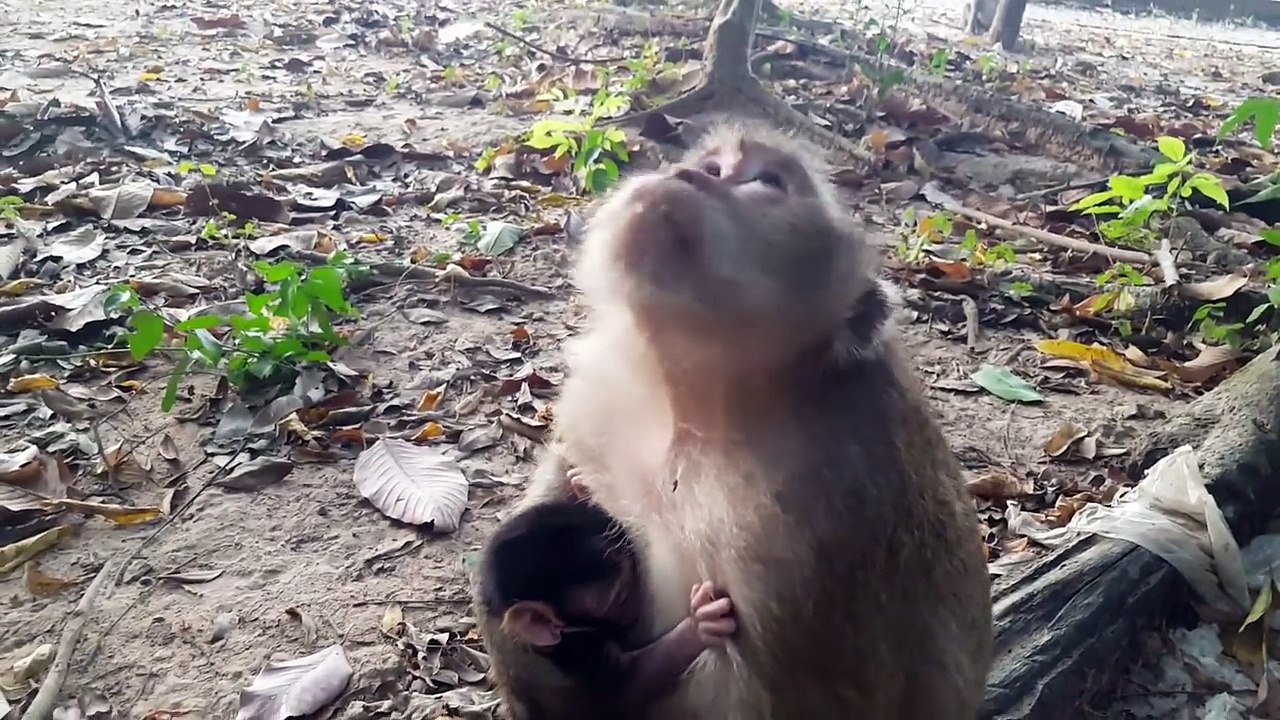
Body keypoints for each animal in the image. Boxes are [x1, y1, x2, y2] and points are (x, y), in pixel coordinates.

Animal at [501, 119, 995, 720]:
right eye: (714, 167)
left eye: (765, 182)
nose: (686, 174)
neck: (694, 408)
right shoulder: (602, 399)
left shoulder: (797, 539)